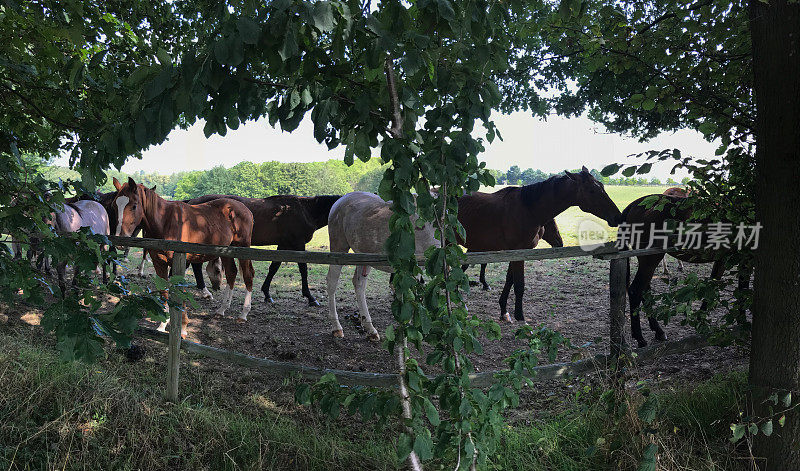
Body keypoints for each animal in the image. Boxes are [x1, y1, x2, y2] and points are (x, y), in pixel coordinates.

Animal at [111, 178, 255, 340]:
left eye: (134, 205)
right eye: (114, 205)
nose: (120, 239)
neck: (165, 221)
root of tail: (244, 209)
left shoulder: (181, 262)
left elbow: (179, 291)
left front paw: (183, 327)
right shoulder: (159, 263)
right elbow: (165, 291)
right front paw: (162, 324)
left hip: (243, 248)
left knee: (248, 275)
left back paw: (243, 314)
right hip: (226, 251)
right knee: (231, 273)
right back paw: (222, 309)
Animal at [183, 193, 342, 306]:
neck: (304, 210)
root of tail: (191, 202)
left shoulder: (284, 245)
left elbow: (274, 267)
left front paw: (266, 293)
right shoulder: (298, 244)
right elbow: (303, 269)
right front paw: (310, 297)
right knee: (194, 265)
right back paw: (203, 291)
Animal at [324, 192, 438, 342]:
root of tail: (340, 201)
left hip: (363, 258)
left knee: (359, 284)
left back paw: (370, 329)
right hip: (338, 249)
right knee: (332, 282)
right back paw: (337, 328)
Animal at [460, 167, 620, 324]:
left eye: (602, 186)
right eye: (592, 190)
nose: (617, 216)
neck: (527, 209)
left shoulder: (515, 252)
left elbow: (509, 280)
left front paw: (504, 311)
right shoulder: (518, 252)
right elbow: (519, 285)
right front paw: (520, 317)